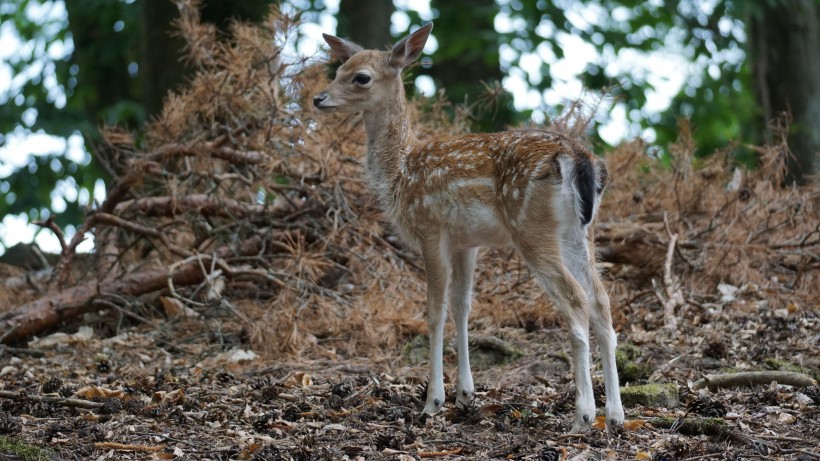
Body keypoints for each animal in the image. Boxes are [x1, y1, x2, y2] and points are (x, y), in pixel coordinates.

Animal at [312, 22, 620, 432]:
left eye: (360, 77)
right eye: (338, 68)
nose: (319, 98)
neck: (400, 172)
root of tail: (581, 159)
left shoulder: (431, 228)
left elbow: (434, 310)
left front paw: (433, 401)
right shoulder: (466, 242)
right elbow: (462, 307)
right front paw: (465, 394)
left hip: (531, 226)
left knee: (576, 300)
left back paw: (584, 415)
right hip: (579, 232)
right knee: (601, 300)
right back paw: (615, 415)